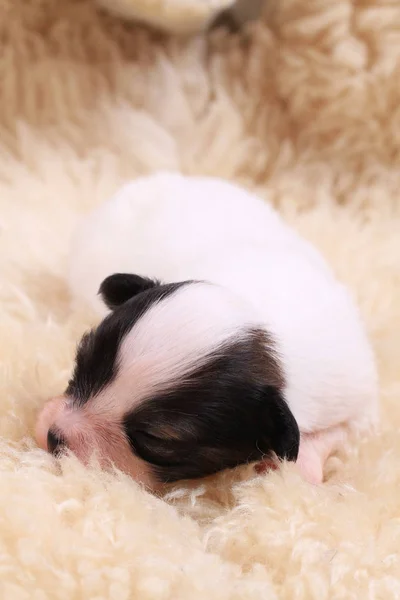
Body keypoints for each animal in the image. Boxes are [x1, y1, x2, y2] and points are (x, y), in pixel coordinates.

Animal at [34, 171, 378, 490]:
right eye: (80, 364)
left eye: (154, 439)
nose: (54, 436)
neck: (257, 309)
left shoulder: (355, 395)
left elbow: (341, 430)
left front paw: (299, 464)